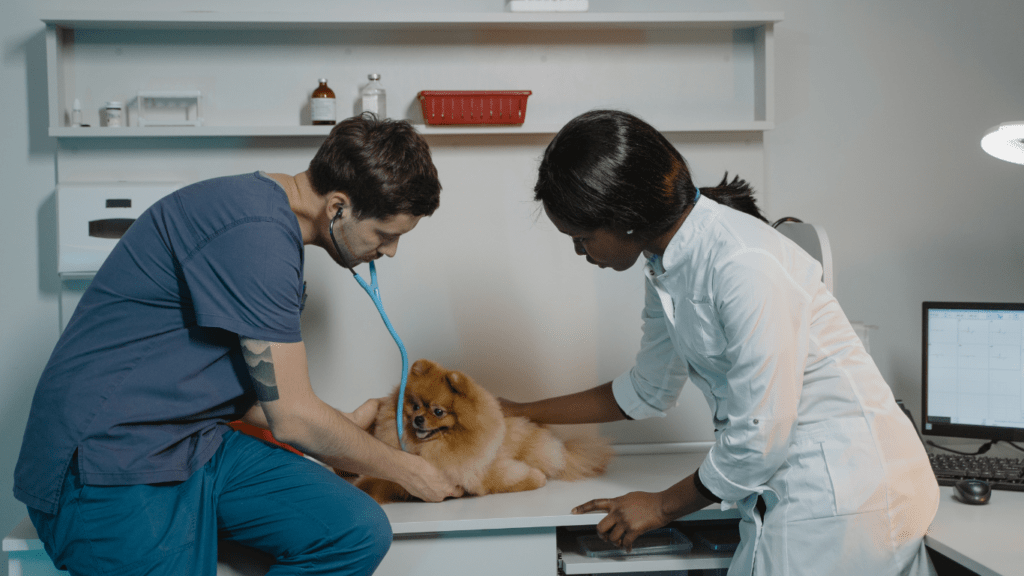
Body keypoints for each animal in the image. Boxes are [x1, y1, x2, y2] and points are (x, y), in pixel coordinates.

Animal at [356, 356, 610, 500]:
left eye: (438, 412)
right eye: (415, 406)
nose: (418, 419)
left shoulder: (480, 471)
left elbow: (502, 480)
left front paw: (536, 478)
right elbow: (378, 481)